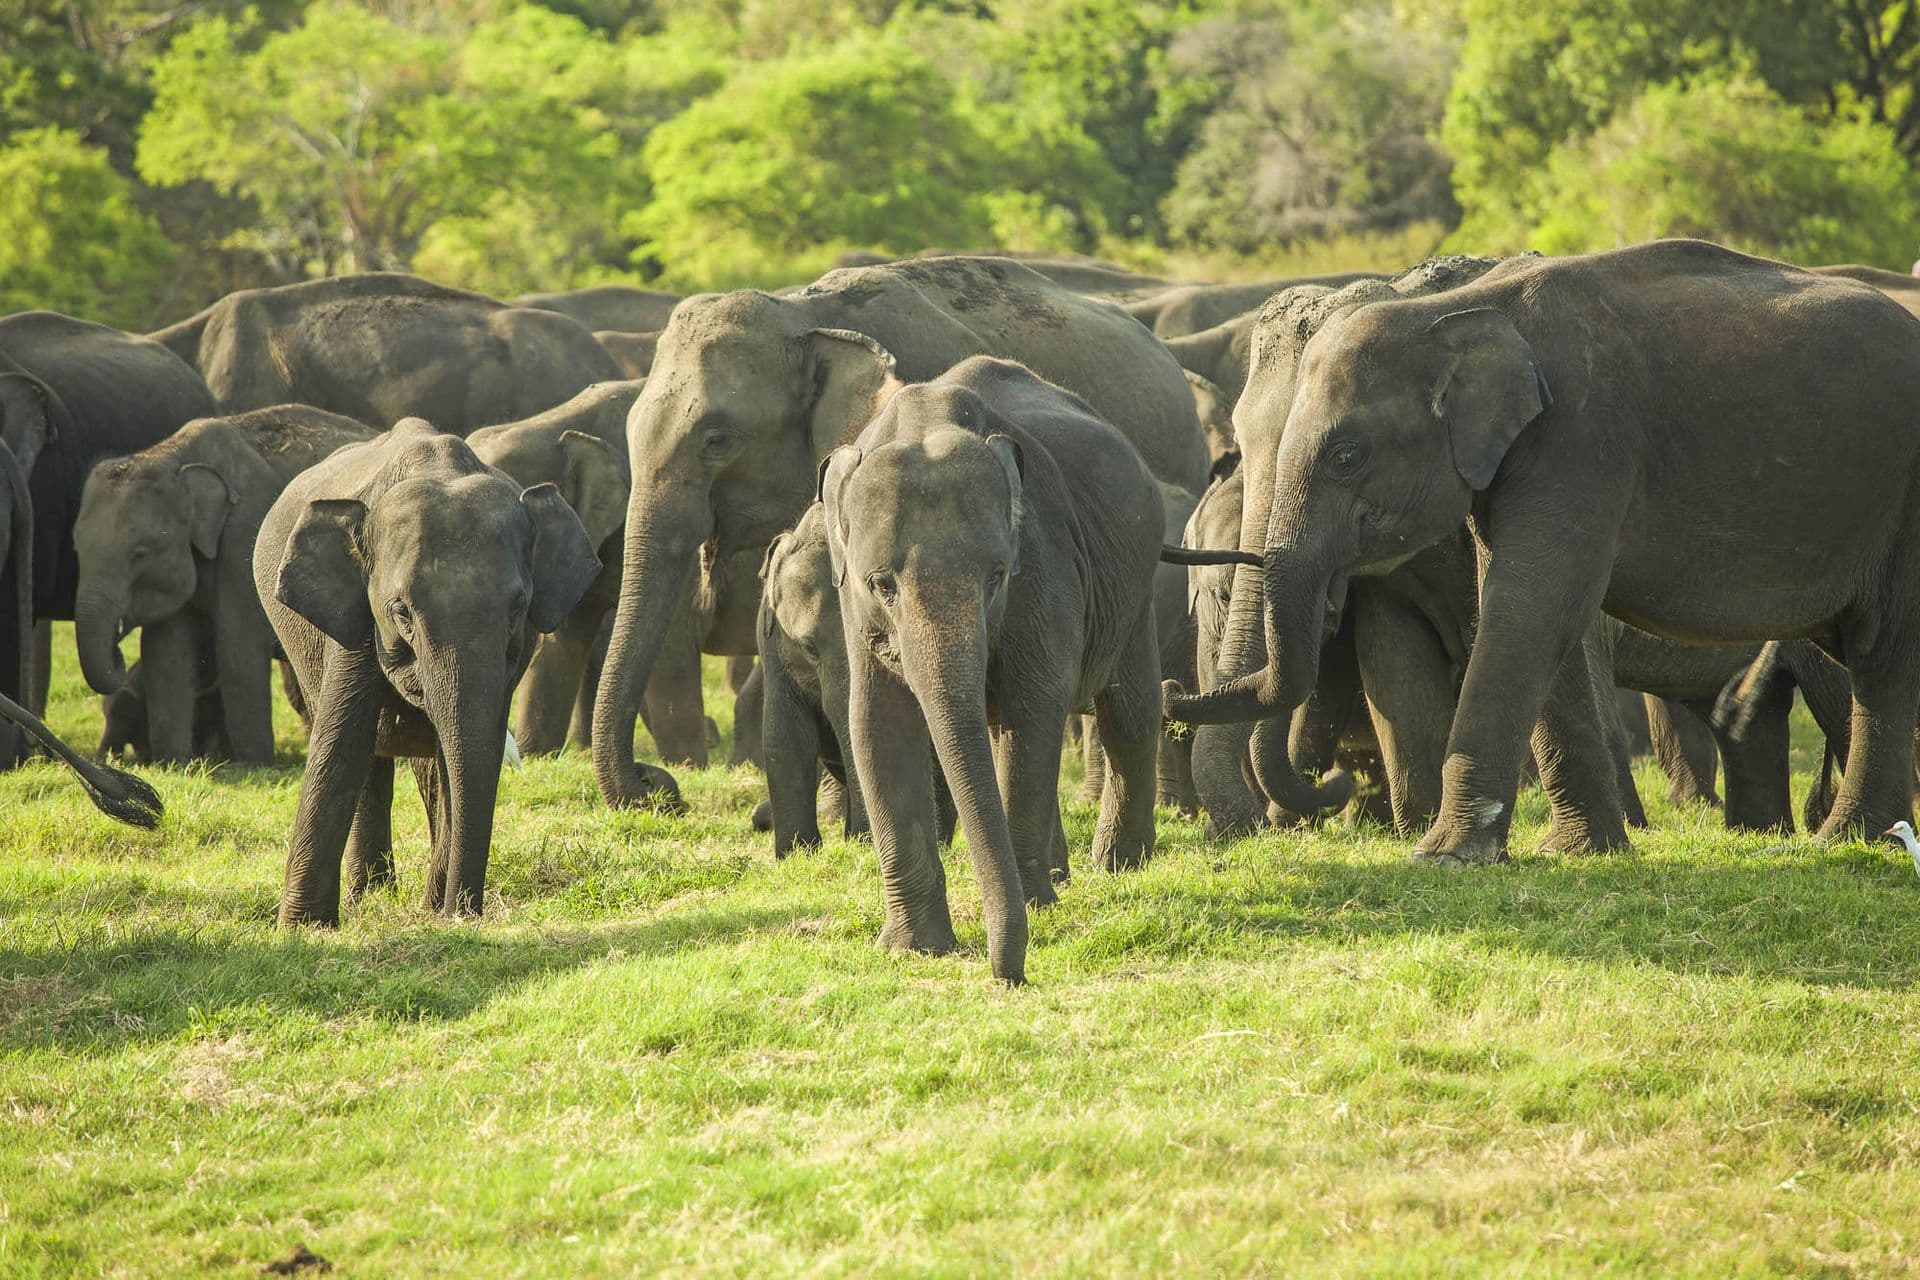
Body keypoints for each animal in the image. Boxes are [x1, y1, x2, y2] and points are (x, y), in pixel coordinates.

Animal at [71, 404, 377, 764]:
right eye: (76, 548)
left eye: (139, 553)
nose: (118, 658)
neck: (172, 456)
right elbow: (165, 655)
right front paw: (172, 763)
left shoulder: (245, 534)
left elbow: (237, 649)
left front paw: (256, 764)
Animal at [255, 419, 600, 925]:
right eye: (401, 612)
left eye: (518, 606)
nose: (463, 912)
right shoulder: (355, 618)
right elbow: (341, 744)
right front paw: (304, 928)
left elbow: (457, 754)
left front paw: (437, 911)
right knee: (371, 756)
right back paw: (369, 894)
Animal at [823, 357, 1168, 984]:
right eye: (881, 584)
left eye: (997, 576)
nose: (1011, 976)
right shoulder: (852, 609)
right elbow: (877, 725)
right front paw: (913, 950)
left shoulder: (1044, 560)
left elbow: (1033, 705)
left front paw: (1036, 907)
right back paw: (1064, 874)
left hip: (1135, 587)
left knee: (1129, 715)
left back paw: (1116, 866)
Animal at [1169, 239, 1920, 861]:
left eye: (1347, 456)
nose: (1174, 691)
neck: (1450, 311)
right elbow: (1497, 621)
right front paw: (1579, 851)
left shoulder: (1581, 438)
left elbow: (1531, 607)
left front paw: (1443, 855)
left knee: (1880, 654)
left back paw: (1847, 840)